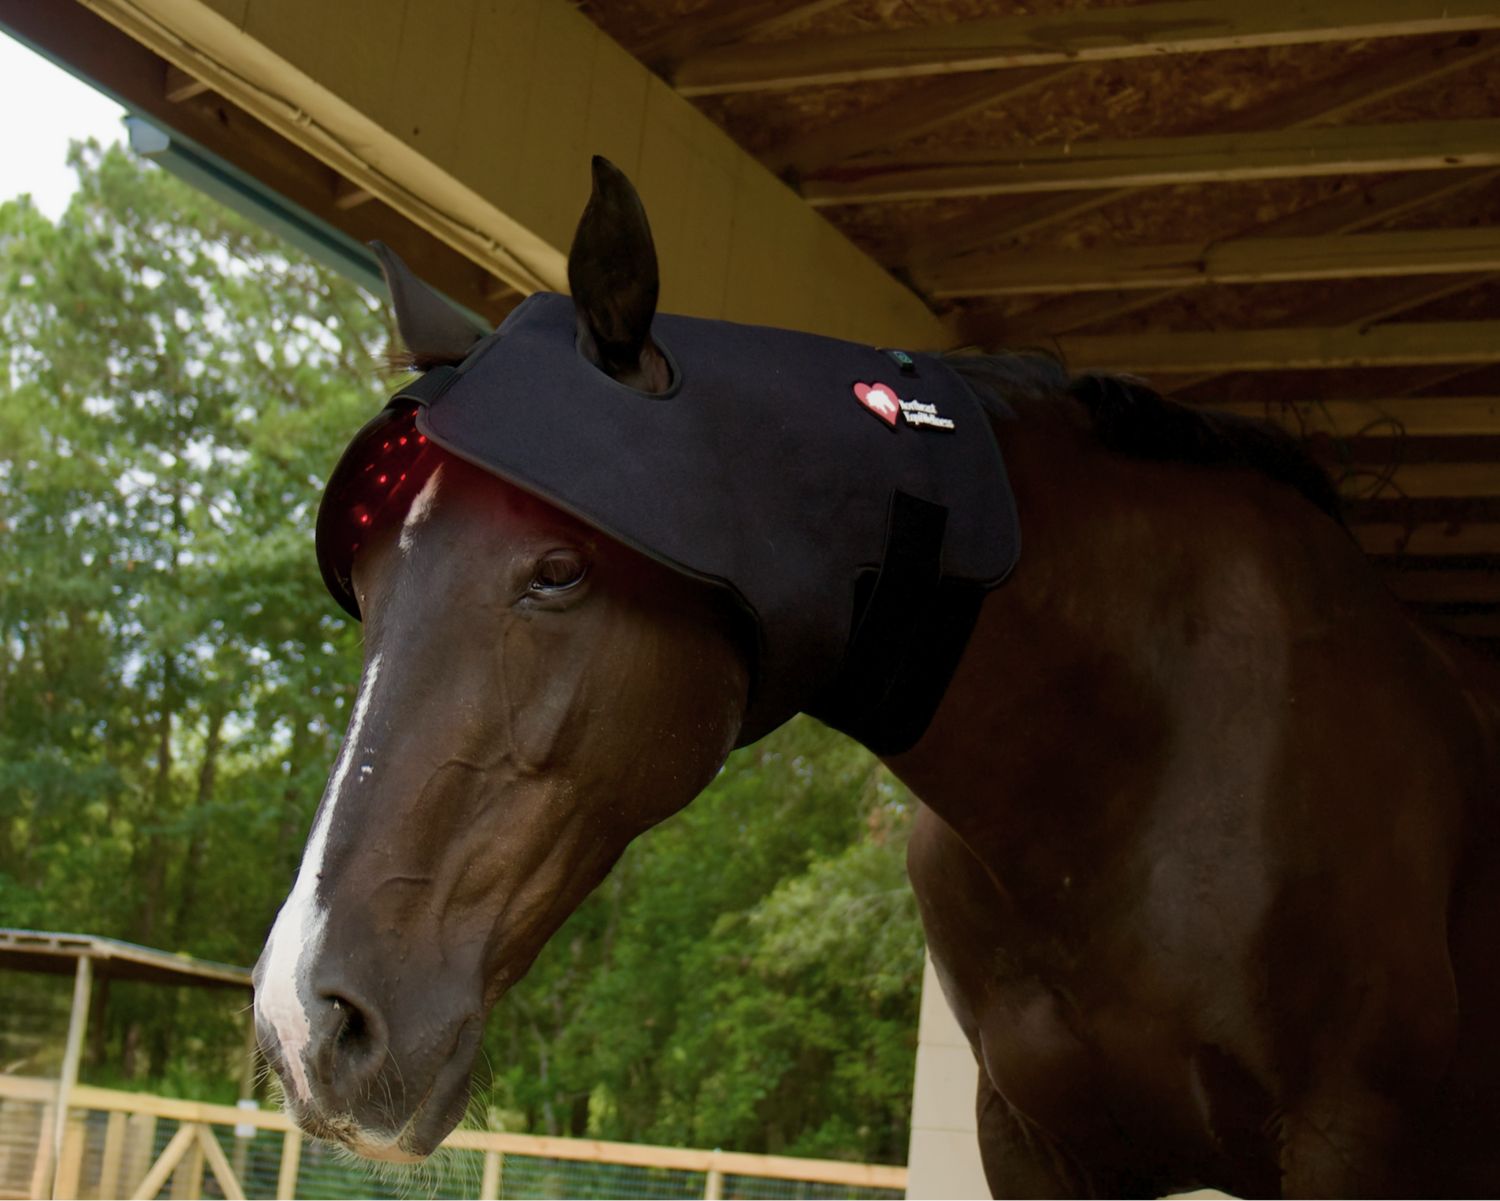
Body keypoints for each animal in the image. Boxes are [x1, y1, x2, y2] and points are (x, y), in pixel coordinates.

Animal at [252, 157, 1500, 1196]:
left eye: (557, 570)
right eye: (369, 579)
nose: (303, 1025)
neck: (1139, 765)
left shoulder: (1346, 1137)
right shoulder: (1033, 1145)